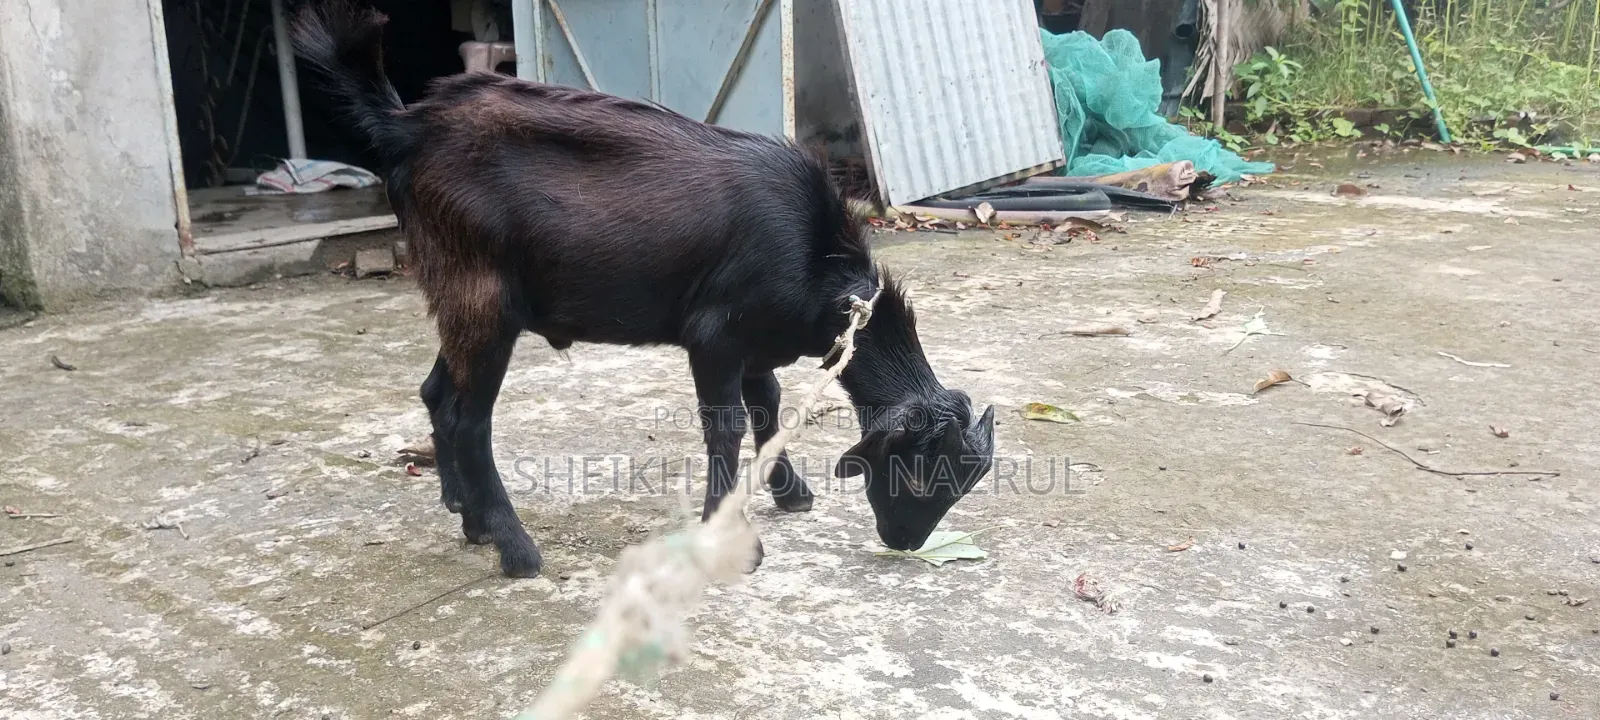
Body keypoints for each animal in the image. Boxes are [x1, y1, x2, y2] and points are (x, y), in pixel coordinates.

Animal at [292, 0, 996, 578]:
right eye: (921, 472)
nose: (906, 543)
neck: (816, 256)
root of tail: (404, 125)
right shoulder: (714, 337)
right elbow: (726, 427)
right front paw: (732, 537)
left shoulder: (755, 345)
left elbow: (767, 411)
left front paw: (790, 492)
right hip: (480, 296)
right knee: (471, 419)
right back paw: (514, 548)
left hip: (463, 300)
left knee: (438, 393)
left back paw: (466, 517)